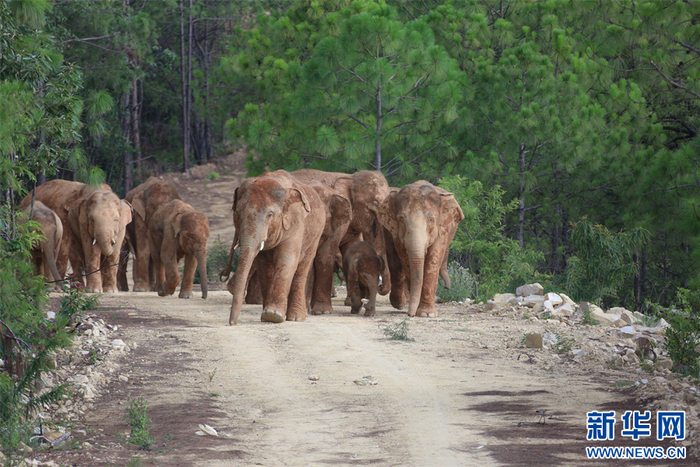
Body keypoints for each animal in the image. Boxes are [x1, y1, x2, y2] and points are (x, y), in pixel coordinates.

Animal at [220, 170, 325, 325]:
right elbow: (264, 264)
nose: (232, 323)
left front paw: (273, 316)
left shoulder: (295, 224)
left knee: (302, 268)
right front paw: (268, 316)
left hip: (316, 234)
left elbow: (287, 259)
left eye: (270, 215)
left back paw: (297, 318)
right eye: (237, 213)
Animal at [378, 181, 464, 318]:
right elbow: (404, 259)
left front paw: (426, 314)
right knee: (394, 262)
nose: (410, 315)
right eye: (401, 219)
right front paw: (419, 311)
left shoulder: (440, 230)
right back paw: (400, 303)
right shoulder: (396, 232)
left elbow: (433, 259)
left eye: (431, 220)